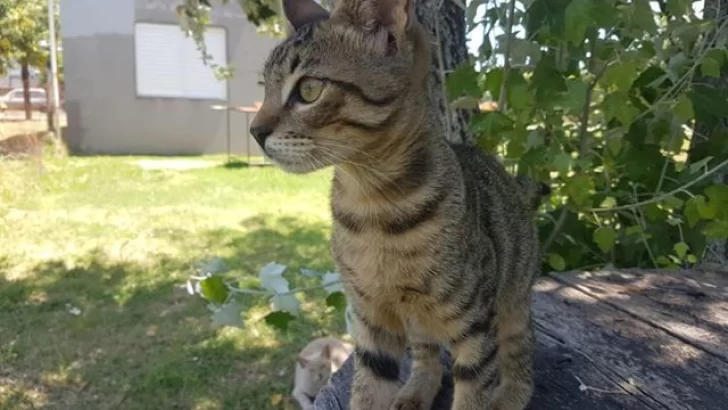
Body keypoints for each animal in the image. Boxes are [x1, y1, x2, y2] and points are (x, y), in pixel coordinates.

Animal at [247, 0, 548, 408]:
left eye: (309, 90)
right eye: (265, 88)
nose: (255, 131)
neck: (374, 211)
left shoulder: (475, 324)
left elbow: (474, 393)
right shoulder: (370, 320)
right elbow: (367, 391)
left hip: (511, 299)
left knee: (520, 348)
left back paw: (511, 393)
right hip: (418, 321)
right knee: (426, 353)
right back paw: (416, 389)